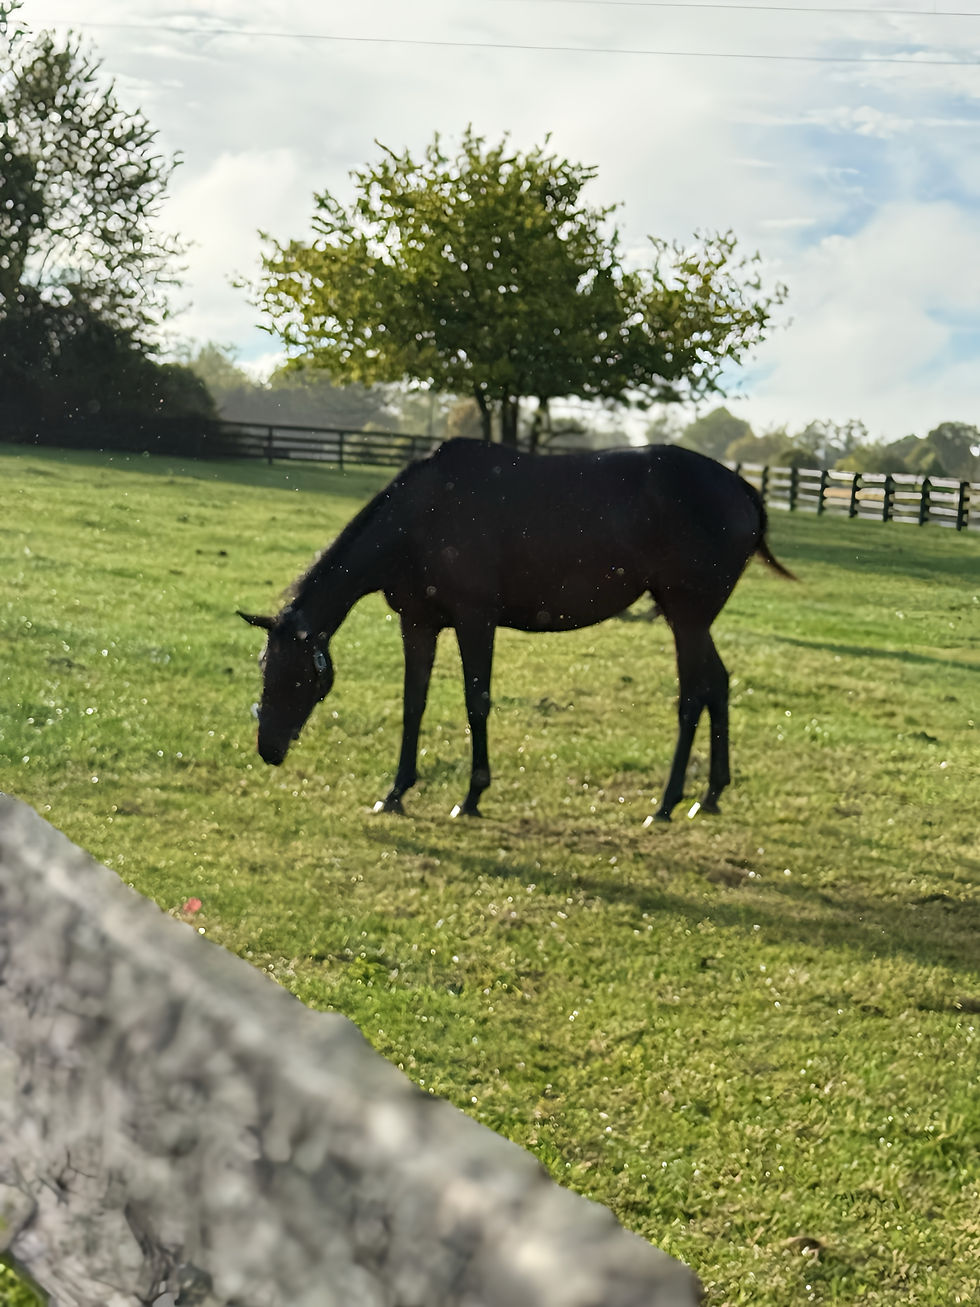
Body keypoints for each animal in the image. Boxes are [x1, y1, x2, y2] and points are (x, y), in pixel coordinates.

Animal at [239, 438, 794, 822]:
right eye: (264, 669)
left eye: (302, 678)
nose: (269, 750)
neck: (422, 516)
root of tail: (744, 490)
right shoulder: (418, 623)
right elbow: (414, 702)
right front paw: (396, 792)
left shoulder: (475, 620)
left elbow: (476, 701)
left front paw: (472, 795)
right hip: (692, 619)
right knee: (717, 685)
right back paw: (710, 794)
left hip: (687, 617)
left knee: (693, 696)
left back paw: (666, 803)